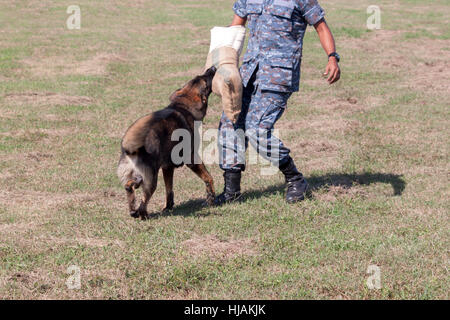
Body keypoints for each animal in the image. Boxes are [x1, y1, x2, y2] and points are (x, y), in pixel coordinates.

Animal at [118, 66, 218, 219]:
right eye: (205, 81)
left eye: (199, 76)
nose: (212, 68)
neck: (182, 105)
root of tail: (132, 150)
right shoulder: (192, 159)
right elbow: (208, 178)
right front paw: (211, 198)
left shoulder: (167, 167)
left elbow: (169, 189)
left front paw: (168, 207)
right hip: (151, 180)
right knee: (144, 201)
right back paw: (143, 215)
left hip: (140, 177)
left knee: (130, 185)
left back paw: (133, 210)